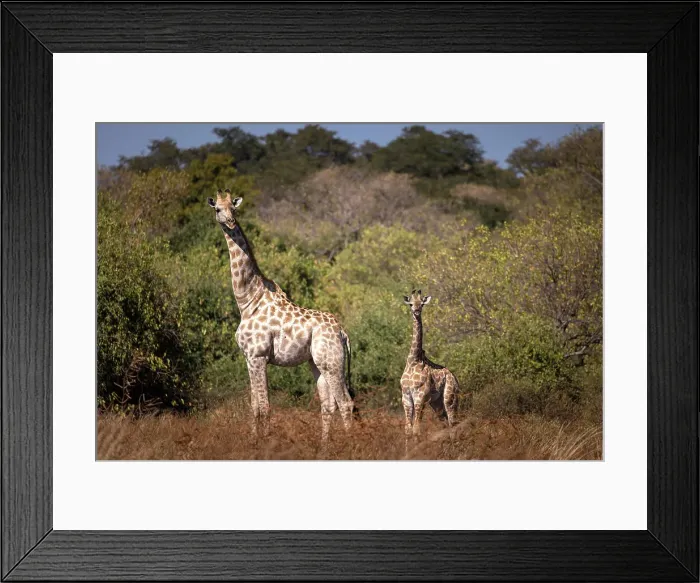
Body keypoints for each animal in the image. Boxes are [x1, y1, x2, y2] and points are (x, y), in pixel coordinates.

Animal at [207, 189, 355, 443]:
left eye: (234, 209)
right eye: (218, 208)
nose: (231, 221)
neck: (247, 301)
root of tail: (343, 333)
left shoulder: (258, 356)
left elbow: (265, 406)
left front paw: (265, 442)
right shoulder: (248, 358)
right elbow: (254, 405)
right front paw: (253, 440)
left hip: (332, 363)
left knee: (345, 403)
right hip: (317, 363)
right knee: (329, 404)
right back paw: (324, 445)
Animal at [400, 290, 459, 446]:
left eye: (421, 304)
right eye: (410, 304)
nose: (416, 311)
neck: (413, 360)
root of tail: (455, 378)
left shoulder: (420, 396)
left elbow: (416, 429)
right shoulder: (406, 396)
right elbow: (407, 430)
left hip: (449, 397)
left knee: (453, 422)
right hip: (436, 402)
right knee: (445, 423)